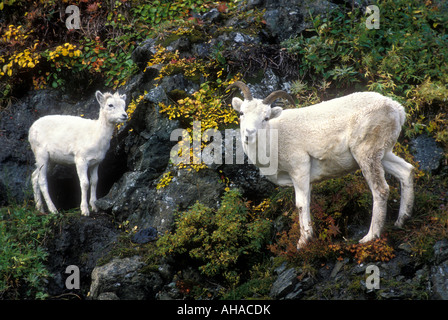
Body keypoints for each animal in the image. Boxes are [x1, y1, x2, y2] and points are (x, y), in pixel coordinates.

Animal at [229, 81, 414, 249]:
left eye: (265, 118)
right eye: (241, 113)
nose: (249, 134)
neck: (273, 139)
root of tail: (397, 109)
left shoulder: (299, 169)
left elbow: (301, 204)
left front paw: (303, 242)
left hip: (366, 154)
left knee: (380, 190)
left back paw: (370, 236)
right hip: (383, 154)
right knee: (406, 171)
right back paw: (401, 221)